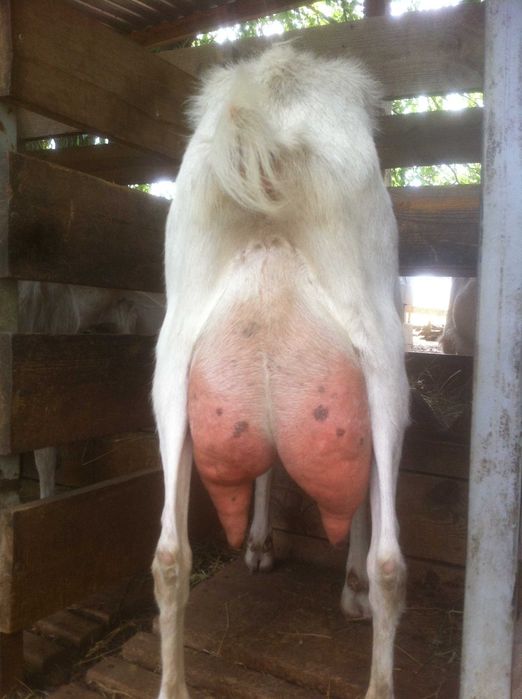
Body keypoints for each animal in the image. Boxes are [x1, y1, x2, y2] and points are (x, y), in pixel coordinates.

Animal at [152, 45, 409, 699]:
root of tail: (272, 89)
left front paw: (259, 546)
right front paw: (348, 585)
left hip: (171, 359)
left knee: (169, 556)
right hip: (383, 358)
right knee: (390, 562)